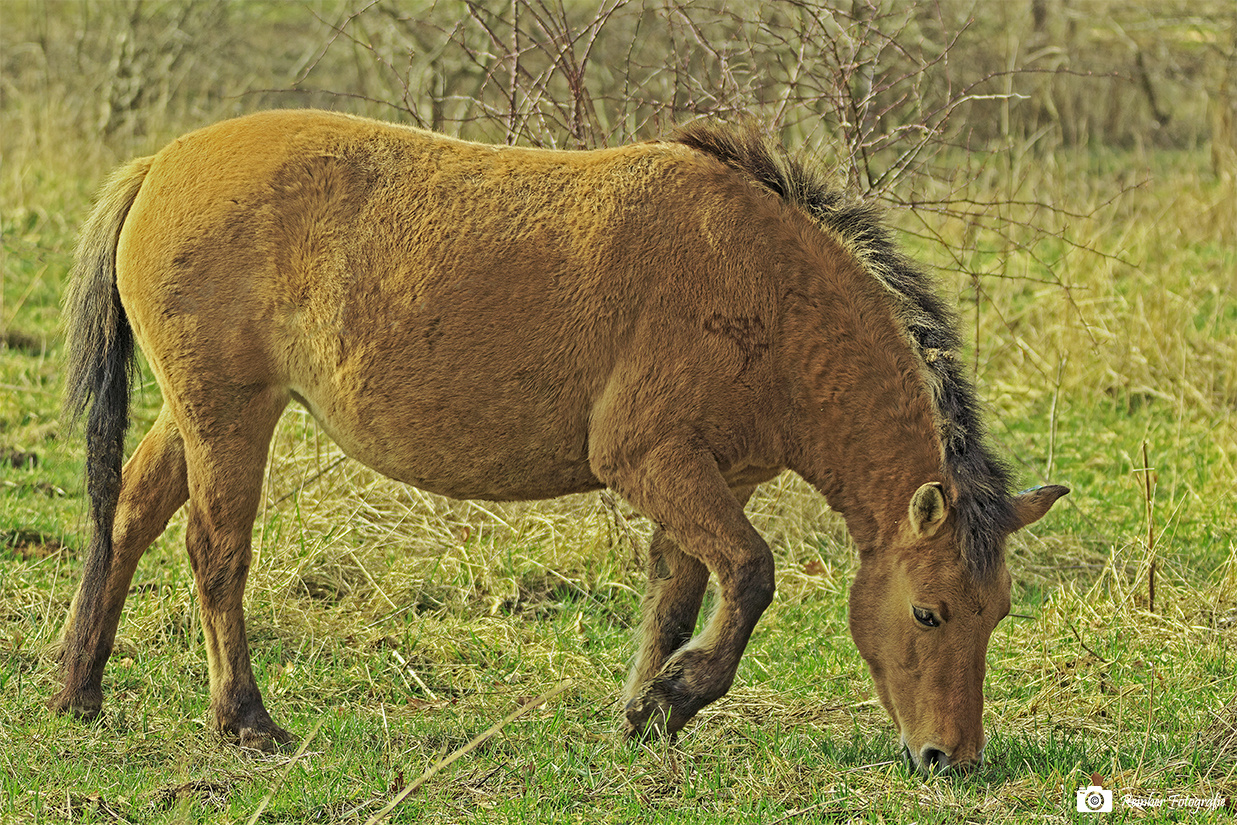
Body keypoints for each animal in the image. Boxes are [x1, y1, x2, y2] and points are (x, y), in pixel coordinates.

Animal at [53, 109, 1068, 776]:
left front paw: (647, 708)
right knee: (215, 552)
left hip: (200, 414)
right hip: (229, 414)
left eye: (996, 614)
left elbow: (678, 594)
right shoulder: (653, 462)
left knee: (130, 517)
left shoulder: (706, 476)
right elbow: (750, 574)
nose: (951, 756)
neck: (761, 283)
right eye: (929, 613)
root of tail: (162, 162)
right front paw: (677, 694)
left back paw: (78, 687)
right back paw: (245, 720)